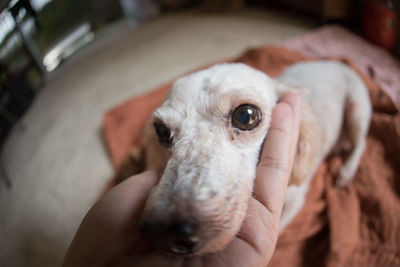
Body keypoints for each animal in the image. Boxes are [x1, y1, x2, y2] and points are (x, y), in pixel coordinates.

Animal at [119, 61, 372, 256]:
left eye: (246, 116)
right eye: (161, 131)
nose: (163, 233)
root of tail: (337, 62)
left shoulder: (295, 202)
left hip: (357, 109)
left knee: (360, 143)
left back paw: (347, 170)